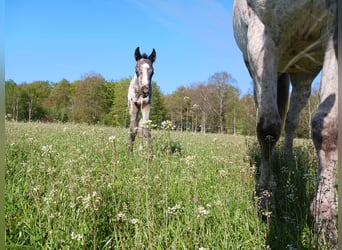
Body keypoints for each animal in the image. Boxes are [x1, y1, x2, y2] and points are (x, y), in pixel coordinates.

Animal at [232, 0, 336, 244]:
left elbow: (328, 128)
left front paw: (325, 220)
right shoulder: (261, 33)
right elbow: (267, 127)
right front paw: (264, 198)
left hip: (303, 73)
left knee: (291, 121)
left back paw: (288, 162)